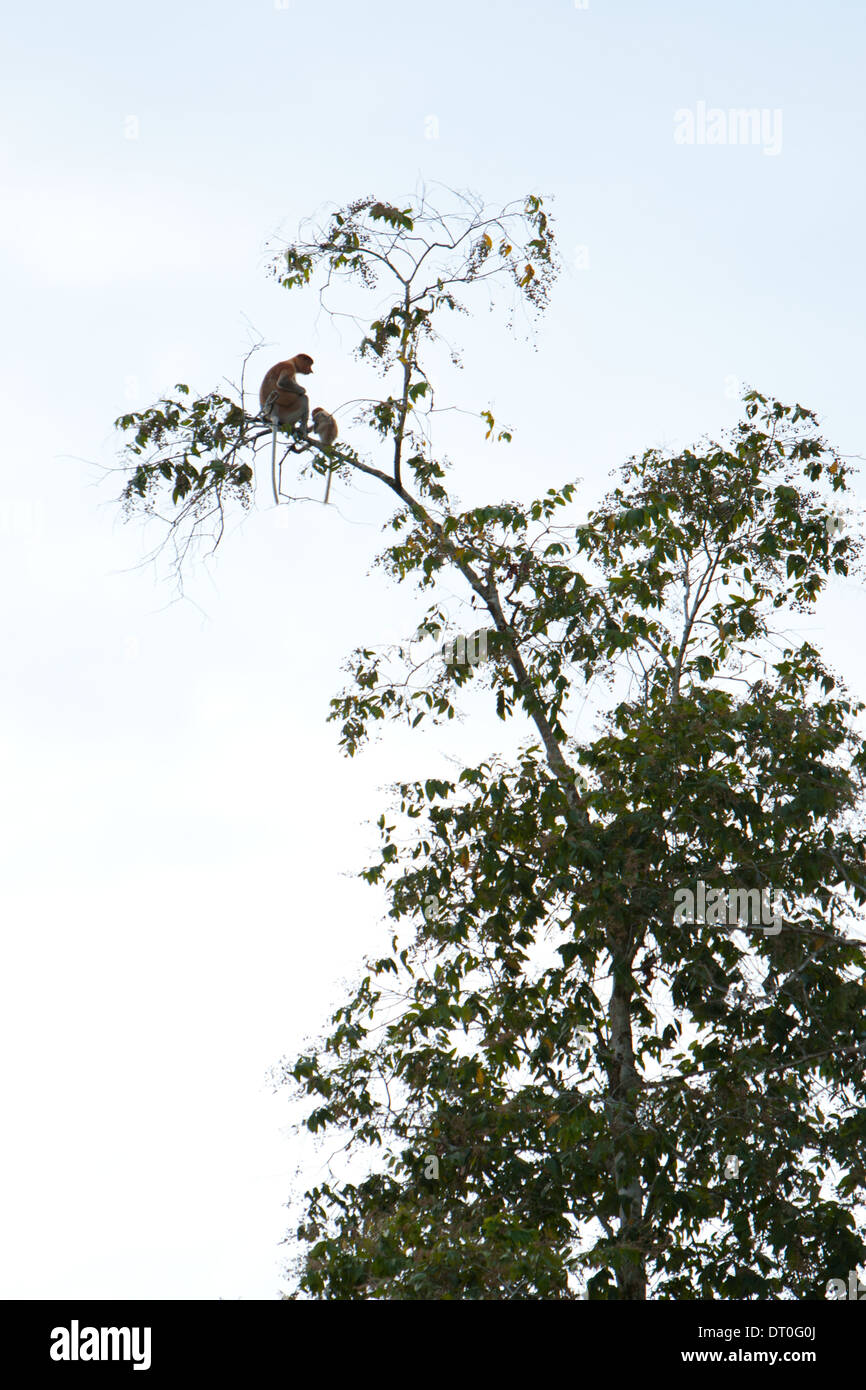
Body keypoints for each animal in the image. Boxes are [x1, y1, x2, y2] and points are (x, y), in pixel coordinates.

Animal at [259, 353, 314, 504]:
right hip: (289, 410)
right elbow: (283, 382)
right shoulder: (288, 367)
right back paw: (303, 430)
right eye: (309, 364)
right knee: (304, 399)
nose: (311, 370)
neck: (291, 361)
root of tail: (272, 413)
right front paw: (303, 389)